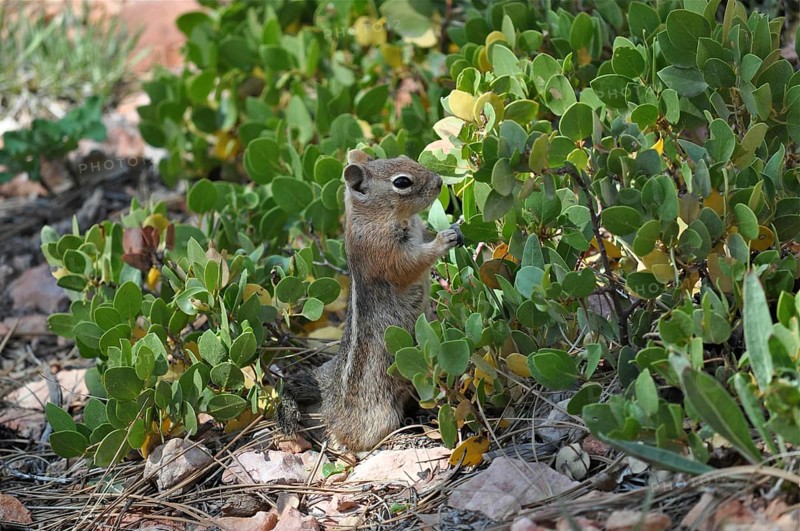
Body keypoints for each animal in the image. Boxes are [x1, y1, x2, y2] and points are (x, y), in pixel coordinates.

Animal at [276, 149, 463, 451]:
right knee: (347, 438)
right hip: (379, 416)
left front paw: (455, 226)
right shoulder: (383, 252)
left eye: (406, 157)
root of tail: (327, 394)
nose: (438, 182)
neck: (378, 216)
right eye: (402, 182)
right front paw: (444, 239)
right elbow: (412, 263)